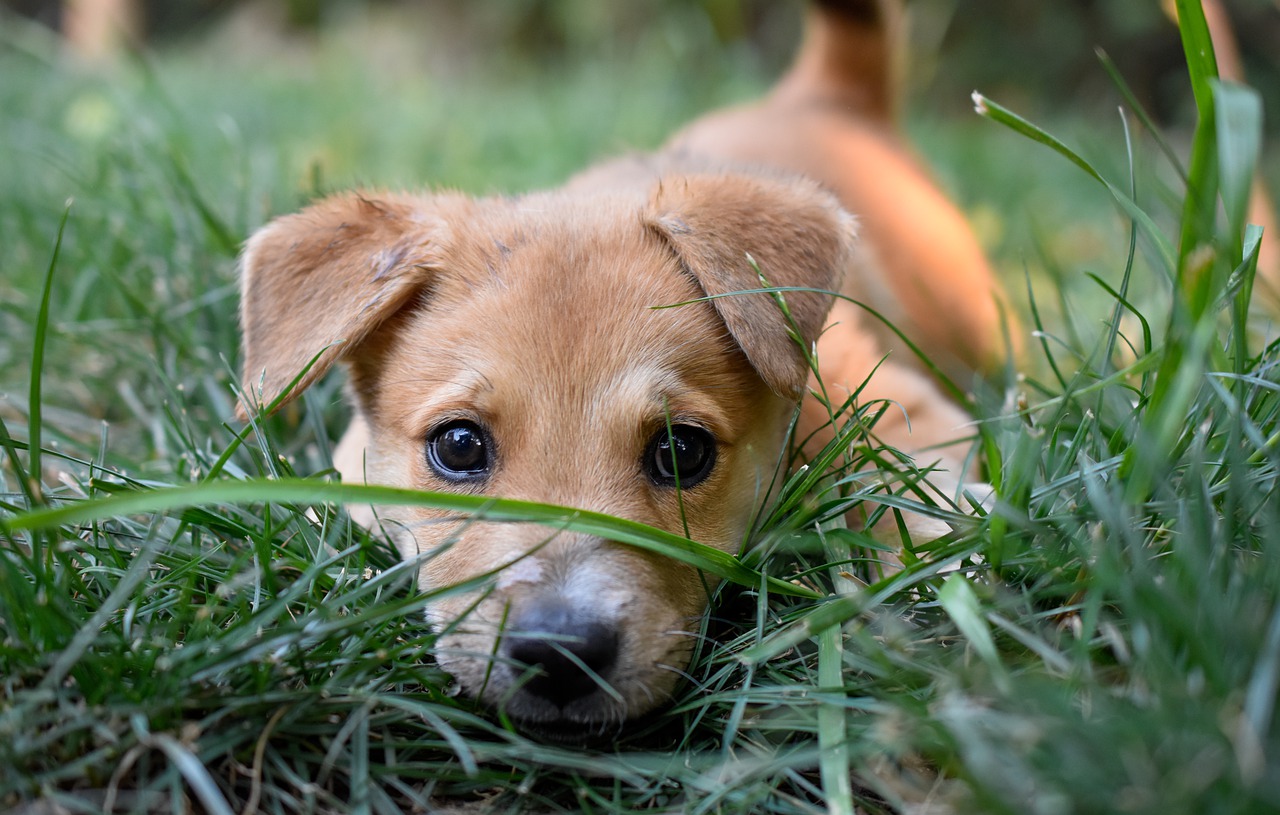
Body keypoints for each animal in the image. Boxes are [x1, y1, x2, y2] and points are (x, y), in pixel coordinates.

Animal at [232, 1, 1008, 736]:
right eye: (457, 446)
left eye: (681, 451)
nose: (558, 653)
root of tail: (828, 93)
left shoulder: (898, 403)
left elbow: (895, 481)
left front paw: (939, 554)